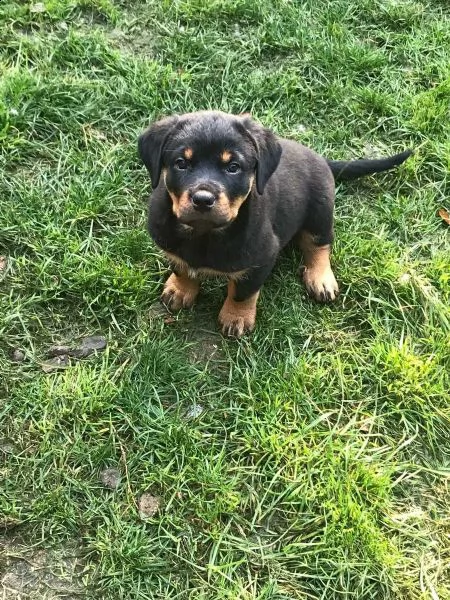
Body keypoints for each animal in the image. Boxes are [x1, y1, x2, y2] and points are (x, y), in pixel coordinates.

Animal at [138, 112, 412, 338]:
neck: (204, 233)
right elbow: (181, 267)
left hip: (321, 211)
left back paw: (320, 278)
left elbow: (243, 292)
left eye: (233, 167)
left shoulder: (261, 259)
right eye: (181, 163)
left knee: (319, 244)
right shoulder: (167, 242)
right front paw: (180, 289)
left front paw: (236, 317)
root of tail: (321, 158)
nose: (203, 199)